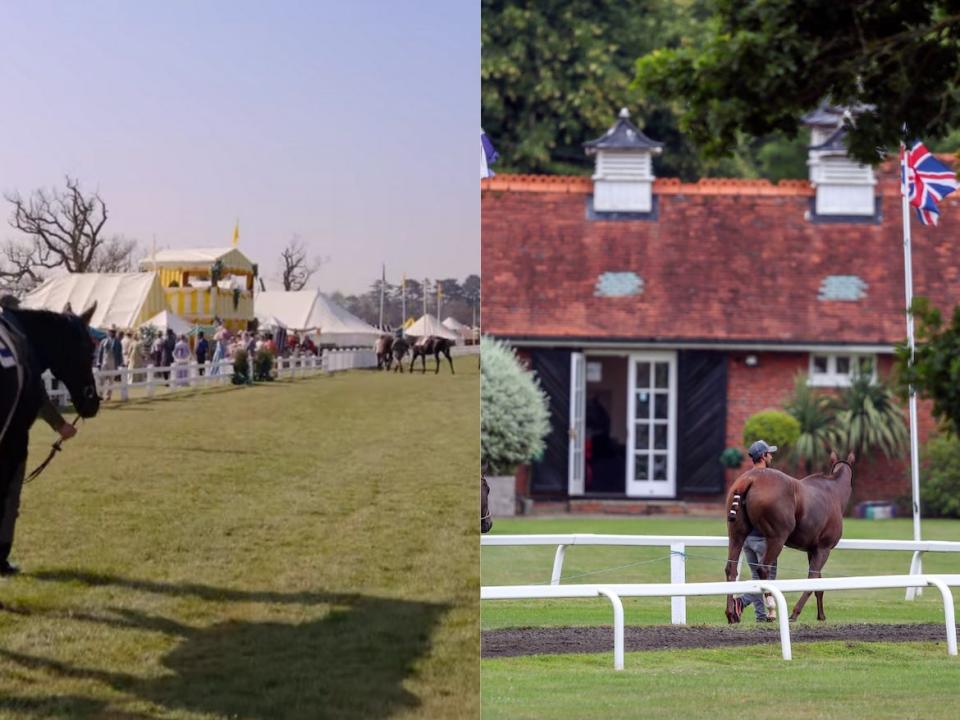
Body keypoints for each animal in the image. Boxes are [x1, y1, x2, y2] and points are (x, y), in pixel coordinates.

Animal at [720, 450, 856, 624]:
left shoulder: (812, 550)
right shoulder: (823, 549)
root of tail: (750, 479)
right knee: (763, 569)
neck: (834, 491)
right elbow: (812, 579)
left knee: (731, 568)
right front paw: (795, 613)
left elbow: (818, 584)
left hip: (737, 534)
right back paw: (771, 608)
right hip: (777, 538)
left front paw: (821, 615)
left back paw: (731, 612)